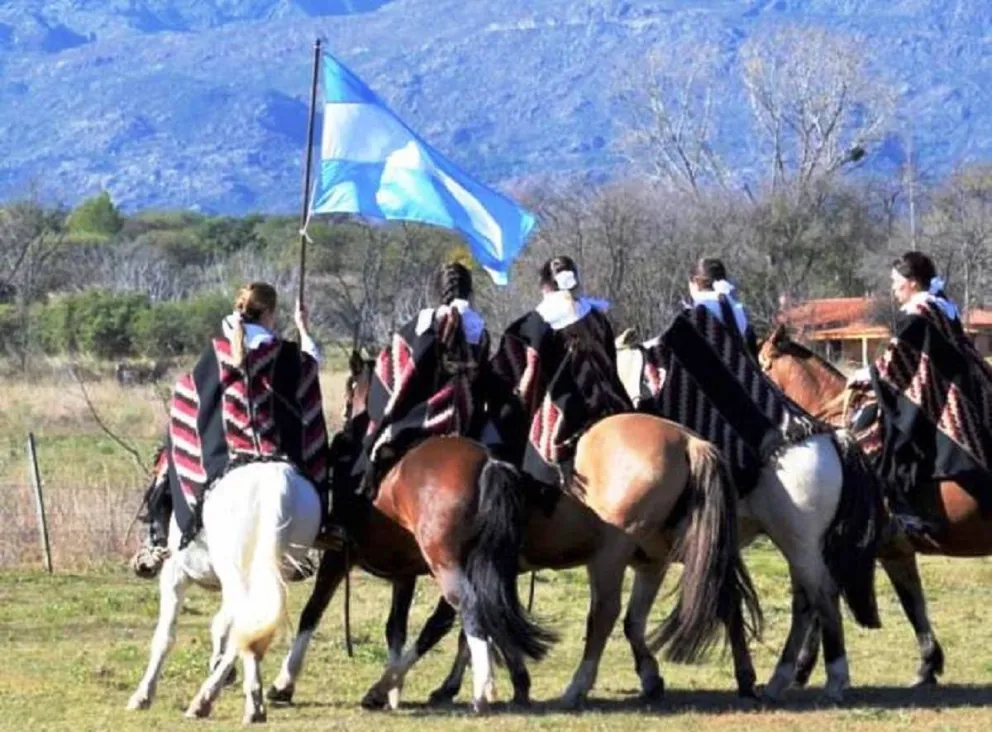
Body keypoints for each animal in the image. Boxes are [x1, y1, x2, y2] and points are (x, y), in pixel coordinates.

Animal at [126, 460, 323, 723]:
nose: (143, 565)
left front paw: (142, 696)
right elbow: (221, 625)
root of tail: (278, 485)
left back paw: (212, 701)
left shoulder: (175, 575)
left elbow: (165, 636)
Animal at [268, 353, 763, 710]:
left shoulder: (349, 558)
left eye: (354, 389)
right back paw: (716, 676)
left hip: (612, 556)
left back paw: (573, 687)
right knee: (699, 603)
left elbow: (317, 613)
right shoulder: (437, 568)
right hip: (663, 552)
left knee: (602, 616)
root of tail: (688, 441)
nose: (345, 435)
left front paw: (286, 683)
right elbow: (435, 626)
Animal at [615, 335, 883, 702]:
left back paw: (833, 679)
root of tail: (833, 437)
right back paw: (782, 677)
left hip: (800, 545)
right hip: (796, 545)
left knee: (823, 596)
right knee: (805, 602)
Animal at [758, 324, 992, 686]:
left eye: (760, 364)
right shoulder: (895, 549)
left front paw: (800, 668)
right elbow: (913, 603)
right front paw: (928, 664)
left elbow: (820, 606)